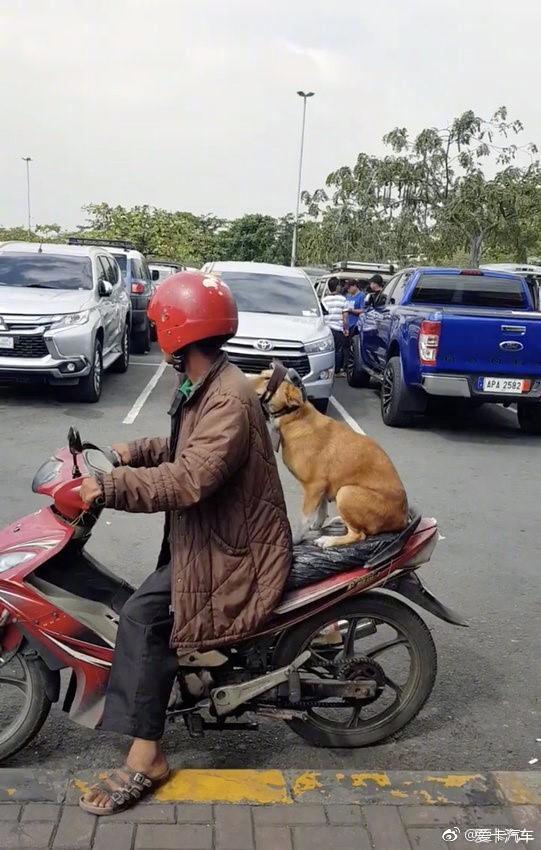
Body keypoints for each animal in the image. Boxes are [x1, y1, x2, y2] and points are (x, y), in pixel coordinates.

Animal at [251, 370, 408, 544]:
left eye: (267, 379)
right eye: (262, 373)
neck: (295, 417)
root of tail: (403, 518)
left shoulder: (314, 486)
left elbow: (304, 519)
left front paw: (296, 538)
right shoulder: (322, 486)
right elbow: (322, 507)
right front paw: (318, 523)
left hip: (345, 492)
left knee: (358, 534)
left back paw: (328, 540)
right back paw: (339, 521)